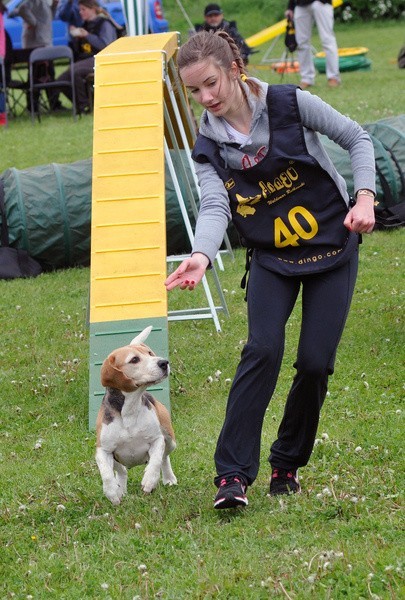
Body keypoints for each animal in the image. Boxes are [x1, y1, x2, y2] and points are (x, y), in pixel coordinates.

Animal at [96, 326, 177, 504]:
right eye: (134, 360)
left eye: (150, 353)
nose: (164, 362)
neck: (130, 410)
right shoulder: (102, 450)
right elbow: (106, 474)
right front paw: (112, 492)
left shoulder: (157, 439)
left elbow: (155, 461)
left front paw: (149, 481)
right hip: (116, 459)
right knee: (122, 471)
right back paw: (120, 489)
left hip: (170, 440)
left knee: (164, 458)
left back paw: (168, 478)